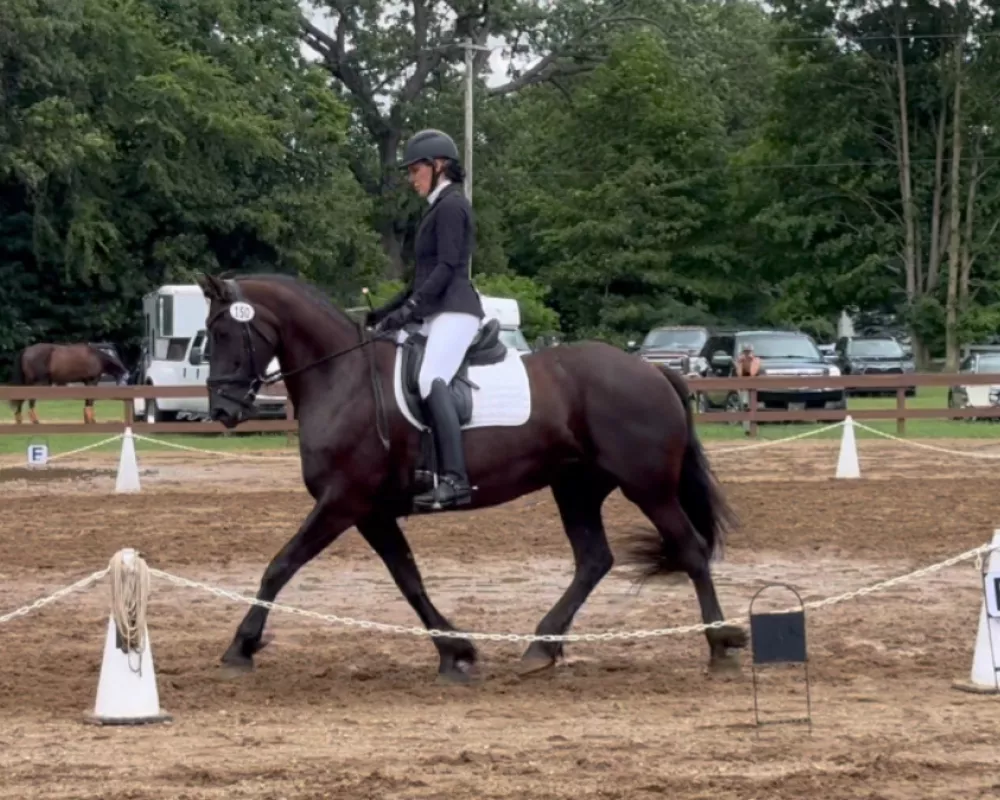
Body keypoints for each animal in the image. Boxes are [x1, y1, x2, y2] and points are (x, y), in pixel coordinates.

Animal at [195, 276, 748, 680]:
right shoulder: (371, 512)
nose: (223, 410)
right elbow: (409, 580)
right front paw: (455, 650)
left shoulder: (342, 501)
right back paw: (541, 647)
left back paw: (720, 646)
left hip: (647, 485)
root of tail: (653, 371)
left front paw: (241, 646)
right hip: (576, 487)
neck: (343, 379)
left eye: (223, 334)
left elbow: (280, 565)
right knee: (594, 560)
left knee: (690, 550)